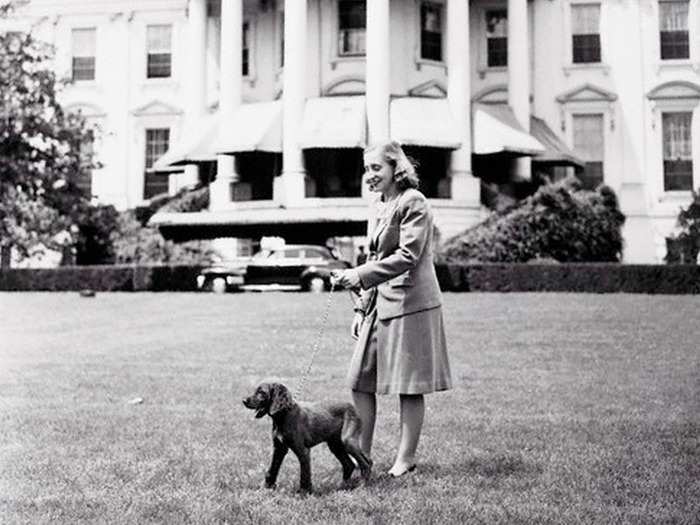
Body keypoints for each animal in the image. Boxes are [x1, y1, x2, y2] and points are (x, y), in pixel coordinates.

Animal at [243, 380, 372, 492]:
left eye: (261, 392)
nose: (244, 400)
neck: (283, 417)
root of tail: (353, 407)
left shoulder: (303, 450)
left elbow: (304, 473)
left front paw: (304, 492)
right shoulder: (279, 448)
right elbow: (272, 469)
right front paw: (267, 487)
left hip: (347, 441)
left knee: (365, 463)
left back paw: (362, 486)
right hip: (335, 445)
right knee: (350, 464)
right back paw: (342, 486)